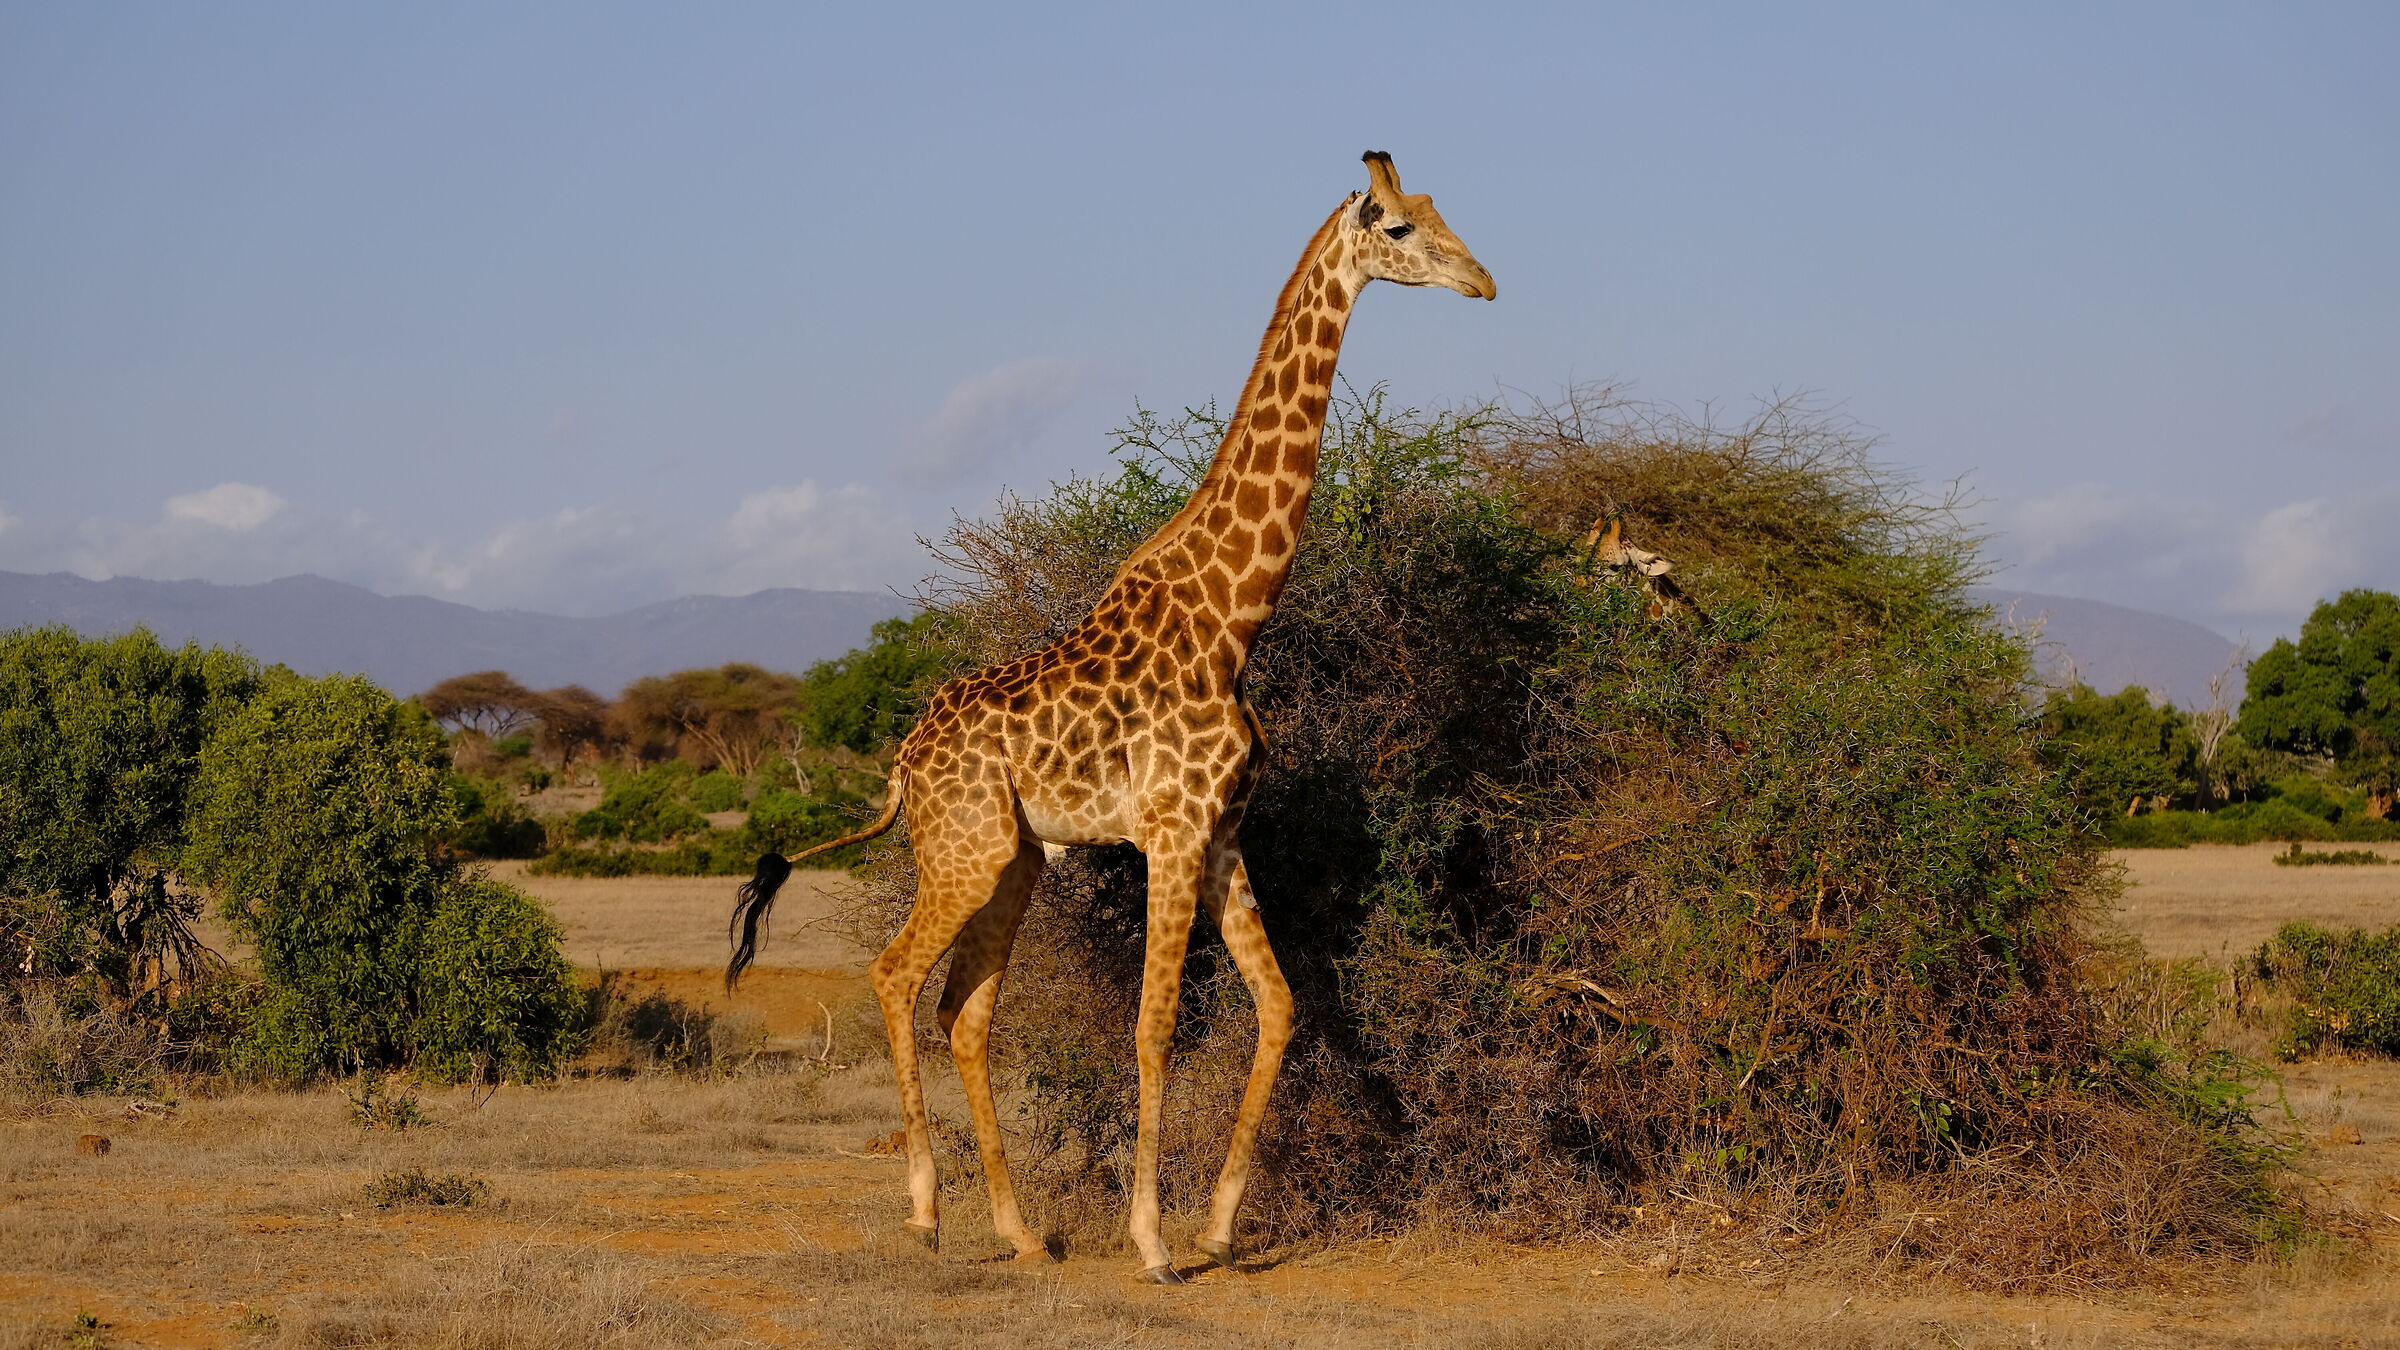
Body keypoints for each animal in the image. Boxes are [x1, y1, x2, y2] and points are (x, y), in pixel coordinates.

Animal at [728, 151, 1494, 1284]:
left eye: (1441, 214)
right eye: (1398, 228)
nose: (1484, 282)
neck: (1232, 619)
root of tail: (902, 764)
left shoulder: (1221, 832)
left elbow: (1279, 1005)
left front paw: (1218, 1228)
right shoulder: (1170, 832)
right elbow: (1154, 1025)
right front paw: (1154, 1242)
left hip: (1015, 858)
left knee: (965, 1012)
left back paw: (1017, 1232)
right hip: (963, 852)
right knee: (896, 975)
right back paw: (924, 1213)